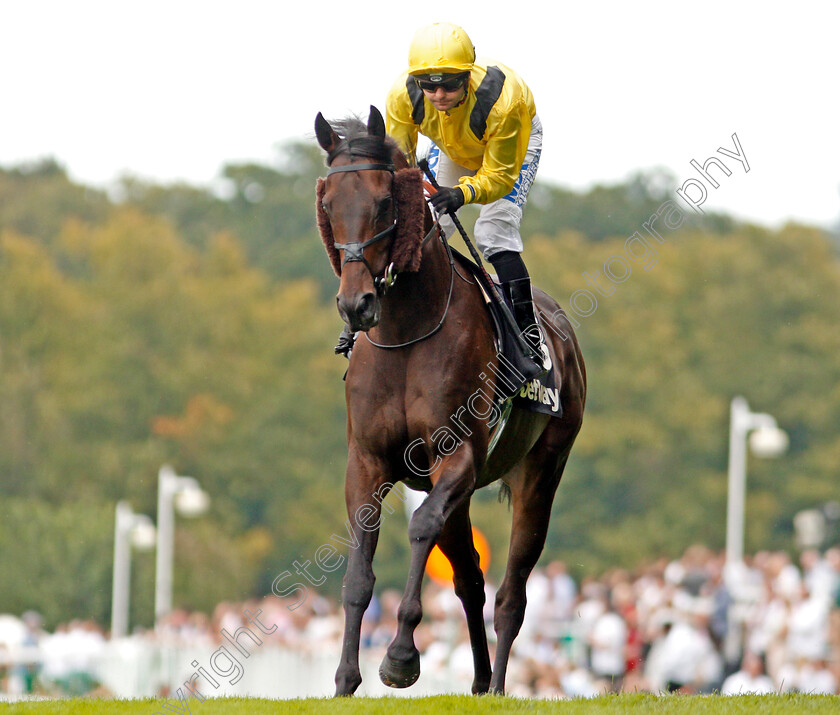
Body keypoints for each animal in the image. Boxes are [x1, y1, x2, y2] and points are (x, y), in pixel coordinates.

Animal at [314, 106, 584, 692]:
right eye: (327, 204)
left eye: (385, 201)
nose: (355, 304)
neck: (407, 333)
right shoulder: (367, 462)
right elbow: (358, 573)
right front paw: (346, 678)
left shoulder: (457, 453)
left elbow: (419, 527)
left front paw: (399, 657)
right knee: (470, 580)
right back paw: (480, 682)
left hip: (541, 472)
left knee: (510, 595)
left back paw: (499, 684)